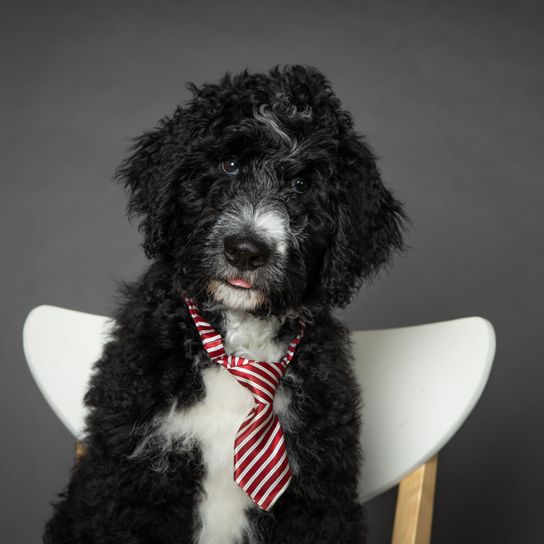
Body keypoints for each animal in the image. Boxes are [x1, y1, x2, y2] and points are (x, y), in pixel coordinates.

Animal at [44, 66, 404, 540]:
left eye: (302, 184)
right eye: (229, 164)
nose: (246, 251)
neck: (240, 348)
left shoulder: (319, 494)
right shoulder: (130, 480)